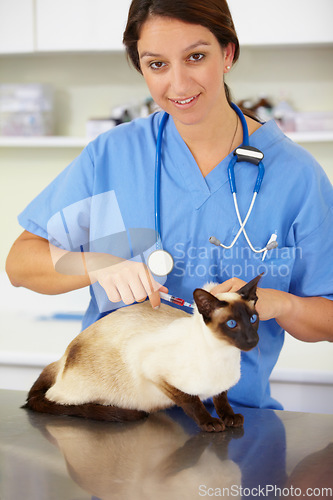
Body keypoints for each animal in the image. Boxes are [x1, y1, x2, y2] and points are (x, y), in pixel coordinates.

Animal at [24, 276, 262, 432]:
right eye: (232, 324)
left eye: (253, 319)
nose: (253, 340)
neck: (224, 355)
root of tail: (62, 358)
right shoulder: (155, 373)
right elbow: (192, 401)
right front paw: (210, 423)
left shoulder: (221, 386)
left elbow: (222, 399)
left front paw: (230, 418)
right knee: (53, 399)